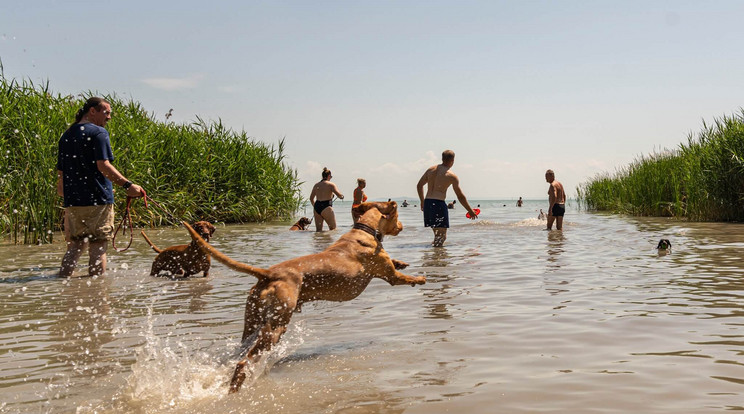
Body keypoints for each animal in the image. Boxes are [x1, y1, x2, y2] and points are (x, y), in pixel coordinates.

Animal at [182, 202, 424, 392]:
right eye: (397, 218)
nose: (402, 227)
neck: (363, 231)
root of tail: (268, 274)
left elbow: (396, 263)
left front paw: (402, 262)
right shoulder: (390, 276)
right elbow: (401, 275)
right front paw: (420, 278)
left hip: (252, 320)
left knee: (240, 350)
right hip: (276, 325)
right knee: (244, 361)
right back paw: (236, 388)